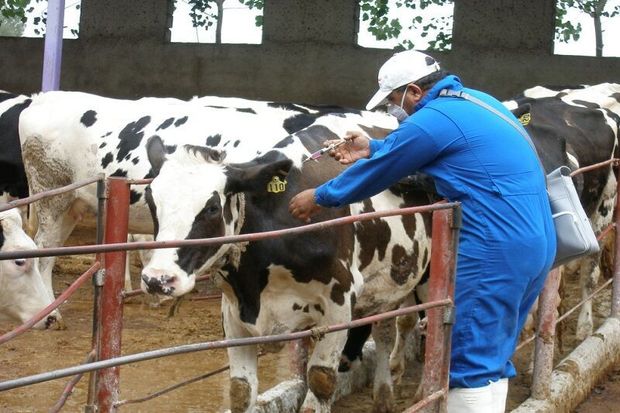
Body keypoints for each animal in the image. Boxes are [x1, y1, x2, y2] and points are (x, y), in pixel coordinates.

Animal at [140, 113, 432, 412]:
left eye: (211, 208)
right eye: (151, 201)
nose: (158, 278)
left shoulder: (340, 301)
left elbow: (321, 379)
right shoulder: (233, 311)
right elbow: (241, 390)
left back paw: (423, 393)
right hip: (387, 286)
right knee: (385, 330)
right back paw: (384, 394)